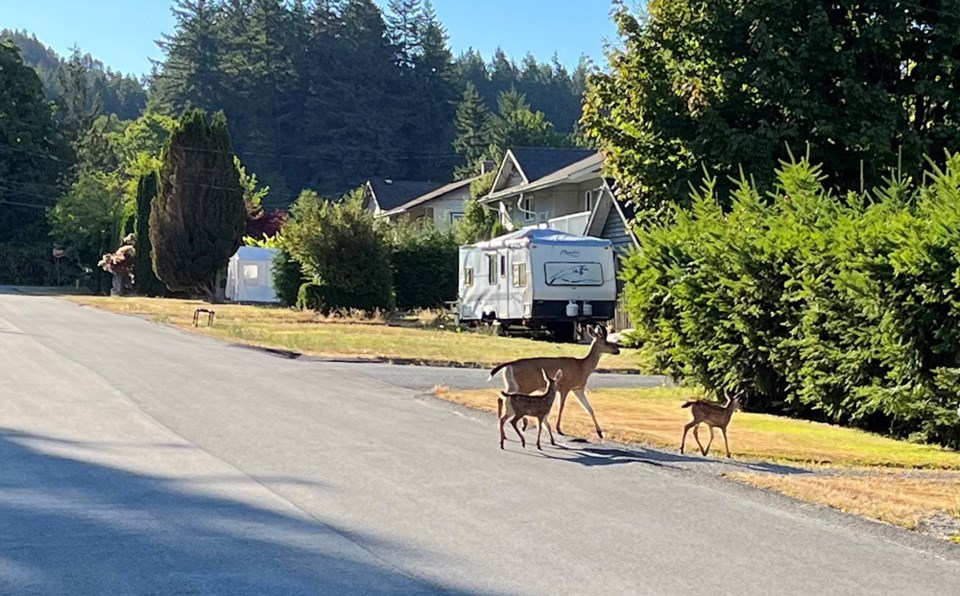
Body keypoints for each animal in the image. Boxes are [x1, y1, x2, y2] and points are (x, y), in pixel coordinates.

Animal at [492, 324, 620, 440]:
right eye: (606, 342)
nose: (618, 350)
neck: (583, 367)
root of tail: (509, 365)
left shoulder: (578, 389)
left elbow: (589, 409)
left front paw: (600, 433)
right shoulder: (565, 387)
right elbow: (561, 407)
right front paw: (558, 429)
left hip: (513, 384)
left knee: (501, 396)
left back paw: (503, 425)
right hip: (524, 385)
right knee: (506, 397)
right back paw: (516, 424)